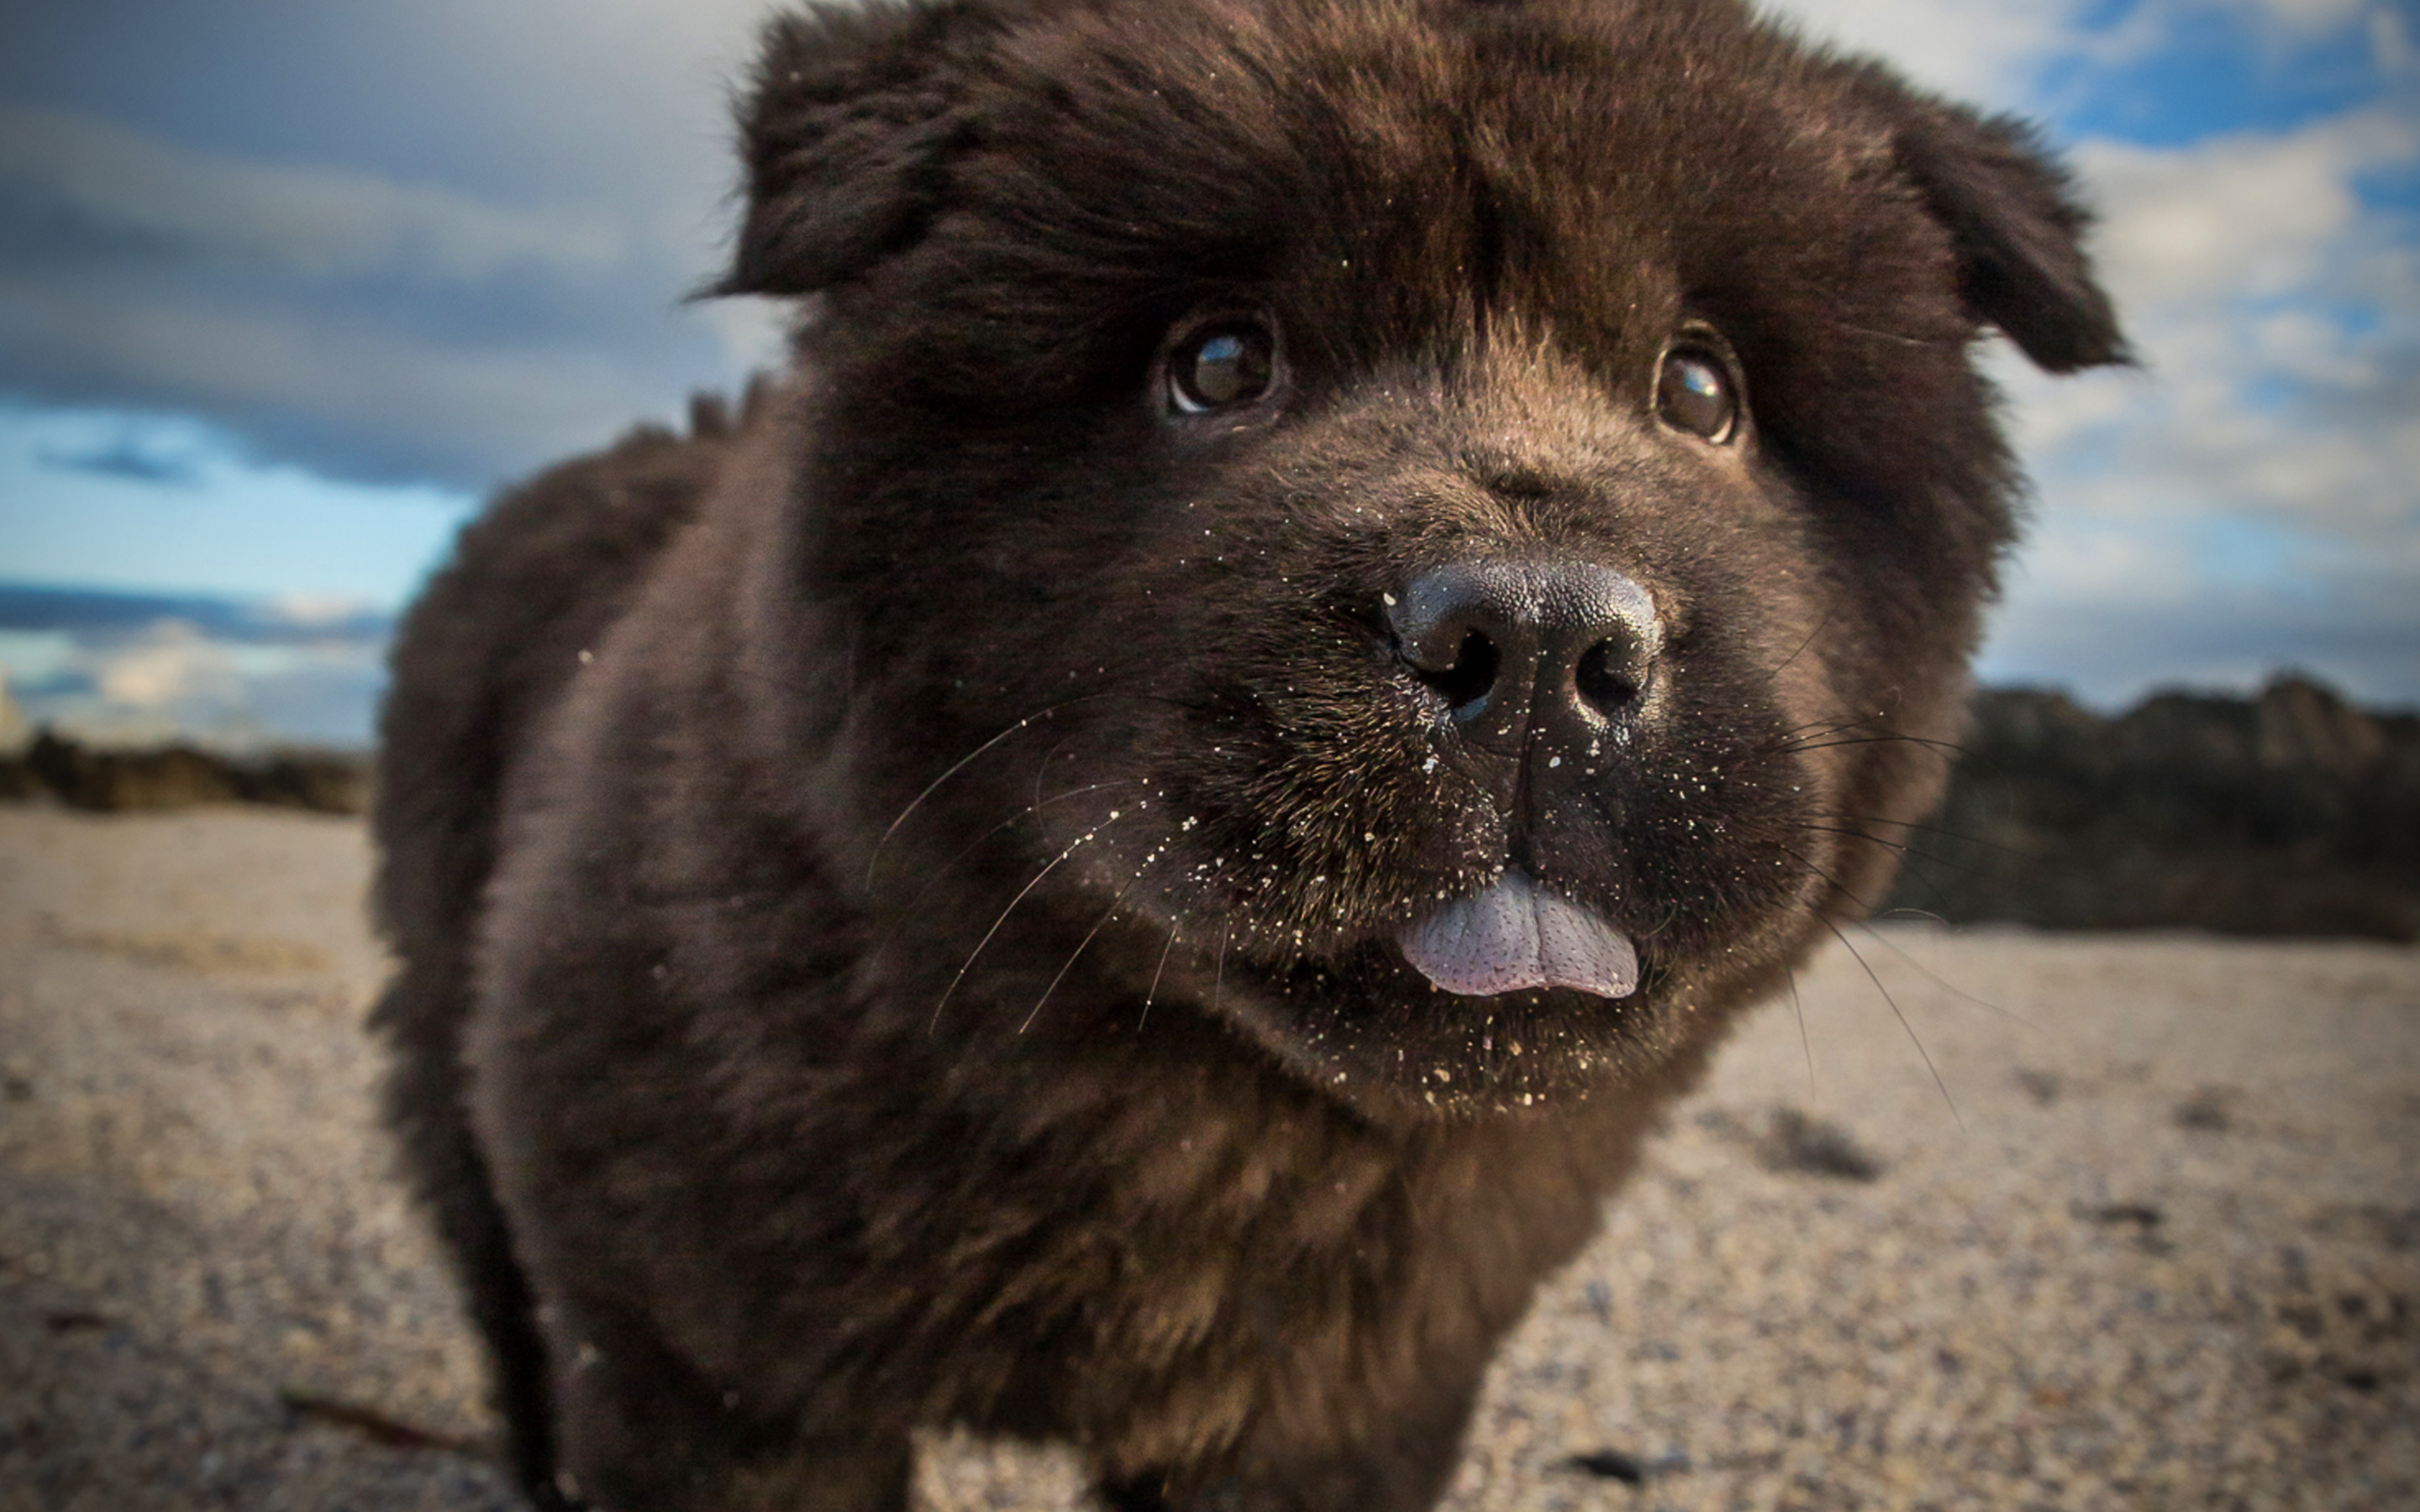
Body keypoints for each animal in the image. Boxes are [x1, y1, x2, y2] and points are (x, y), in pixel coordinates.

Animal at [372, 3, 2119, 1509]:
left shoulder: (1342, 1419)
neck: (1205, 1141)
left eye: (1701, 390)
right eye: (1215, 365)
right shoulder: (718, 1368)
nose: (1540, 637)